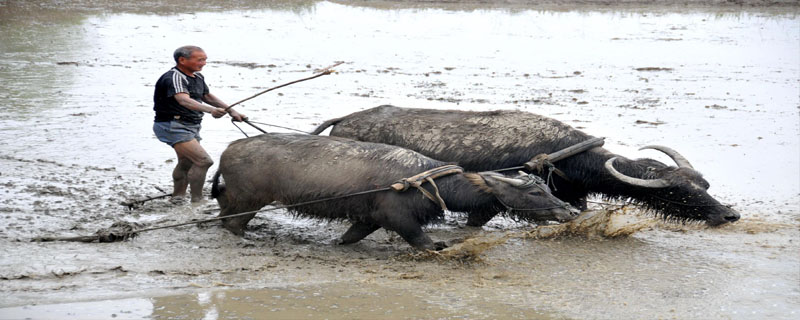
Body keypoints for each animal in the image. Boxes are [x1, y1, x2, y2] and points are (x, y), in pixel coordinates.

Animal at [211, 132, 576, 250]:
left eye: (546, 188)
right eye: (534, 194)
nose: (570, 211)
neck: (428, 181)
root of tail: (229, 149)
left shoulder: (367, 218)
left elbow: (351, 236)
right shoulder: (397, 217)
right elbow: (422, 241)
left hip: (237, 198)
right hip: (250, 200)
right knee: (233, 223)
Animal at [312, 105, 744, 228]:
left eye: (704, 184)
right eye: (678, 190)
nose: (729, 214)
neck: (565, 153)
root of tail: (344, 119)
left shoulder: (573, 195)